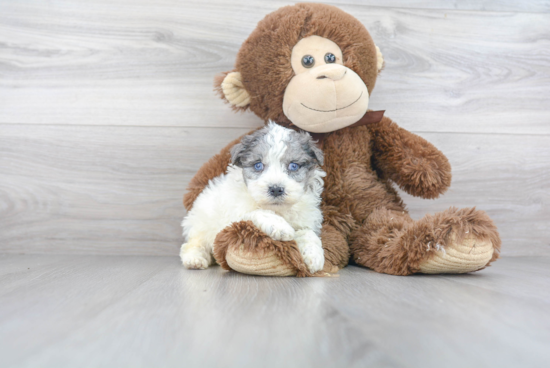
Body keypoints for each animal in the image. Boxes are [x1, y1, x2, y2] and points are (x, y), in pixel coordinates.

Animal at [181, 121, 328, 274]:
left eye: (293, 166)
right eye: (258, 165)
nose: (276, 189)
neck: (278, 209)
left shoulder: (305, 219)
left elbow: (308, 233)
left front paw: (314, 256)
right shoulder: (233, 217)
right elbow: (258, 212)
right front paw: (280, 226)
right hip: (200, 225)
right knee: (193, 244)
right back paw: (195, 259)